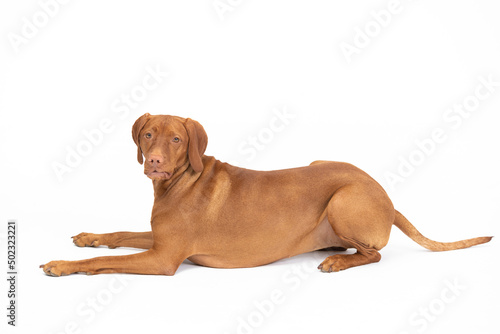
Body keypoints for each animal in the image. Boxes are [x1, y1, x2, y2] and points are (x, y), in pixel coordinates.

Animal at [40, 113, 492, 276]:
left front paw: (63, 265)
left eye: (176, 139)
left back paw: (335, 261)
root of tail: (387, 197)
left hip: (343, 200)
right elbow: (117, 235)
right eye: (148, 134)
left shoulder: (165, 258)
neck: (178, 183)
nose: (153, 162)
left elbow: (99, 262)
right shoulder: (160, 241)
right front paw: (88, 237)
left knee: (374, 254)